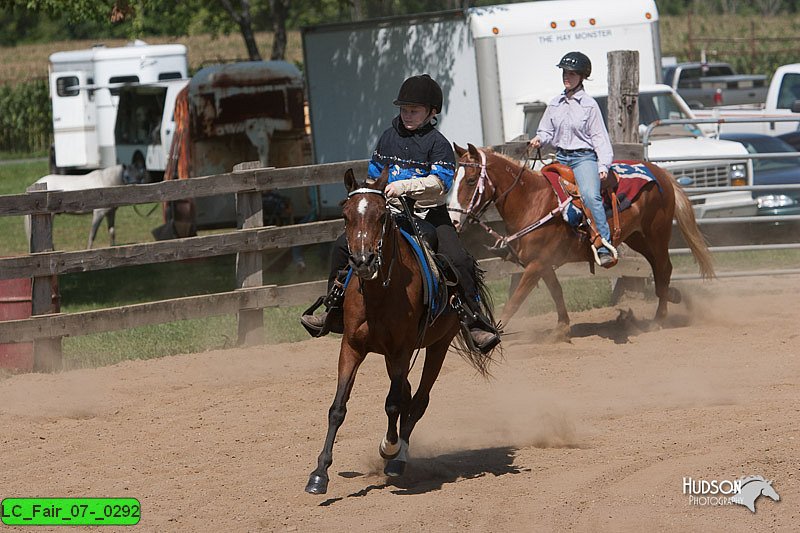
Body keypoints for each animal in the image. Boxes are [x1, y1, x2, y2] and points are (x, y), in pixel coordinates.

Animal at [304, 167, 496, 494]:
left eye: (382, 215)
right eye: (346, 215)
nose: (363, 261)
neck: (380, 294)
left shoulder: (402, 349)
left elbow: (393, 404)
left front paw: (390, 448)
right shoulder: (352, 347)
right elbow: (338, 408)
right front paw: (319, 474)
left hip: (437, 346)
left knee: (417, 400)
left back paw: (399, 458)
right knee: (407, 392)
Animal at [446, 141, 716, 332]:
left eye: (471, 180)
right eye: (453, 180)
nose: (454, 221)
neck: (532, 201)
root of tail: (660, 171)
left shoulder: (536, 265)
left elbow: (515, 301)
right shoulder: (542, 263)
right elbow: (556, 292)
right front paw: (562, 329)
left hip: (657, 233)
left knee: (664, 268)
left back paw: (659, 318)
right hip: (638, 237)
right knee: (659, 270)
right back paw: (672, 297)